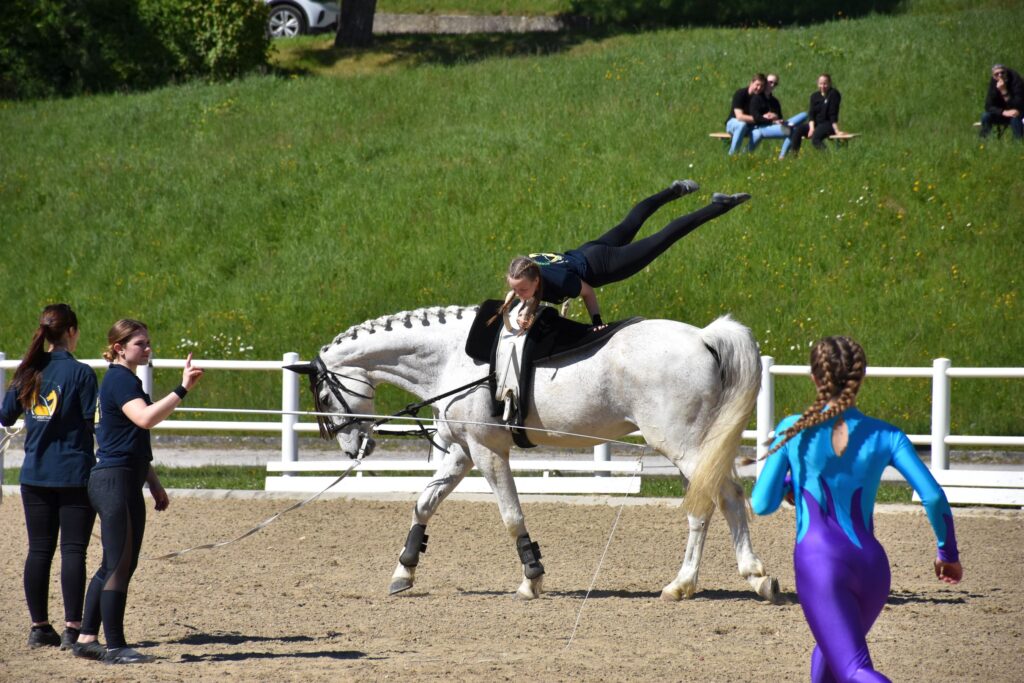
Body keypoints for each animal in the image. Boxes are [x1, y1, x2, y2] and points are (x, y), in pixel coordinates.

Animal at [292, 307, 778, 602]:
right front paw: (404, 571)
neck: (453, 358)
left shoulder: (487, 453)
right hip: (693, 448)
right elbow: (424, 503)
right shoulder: (461, 452)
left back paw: (687, 584)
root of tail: (705, 337)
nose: (352, 448)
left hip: (681, 446)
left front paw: (532, 577)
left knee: (716, 500)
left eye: (323, 395)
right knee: (723, 499)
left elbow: (511, 516)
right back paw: (748, 577)